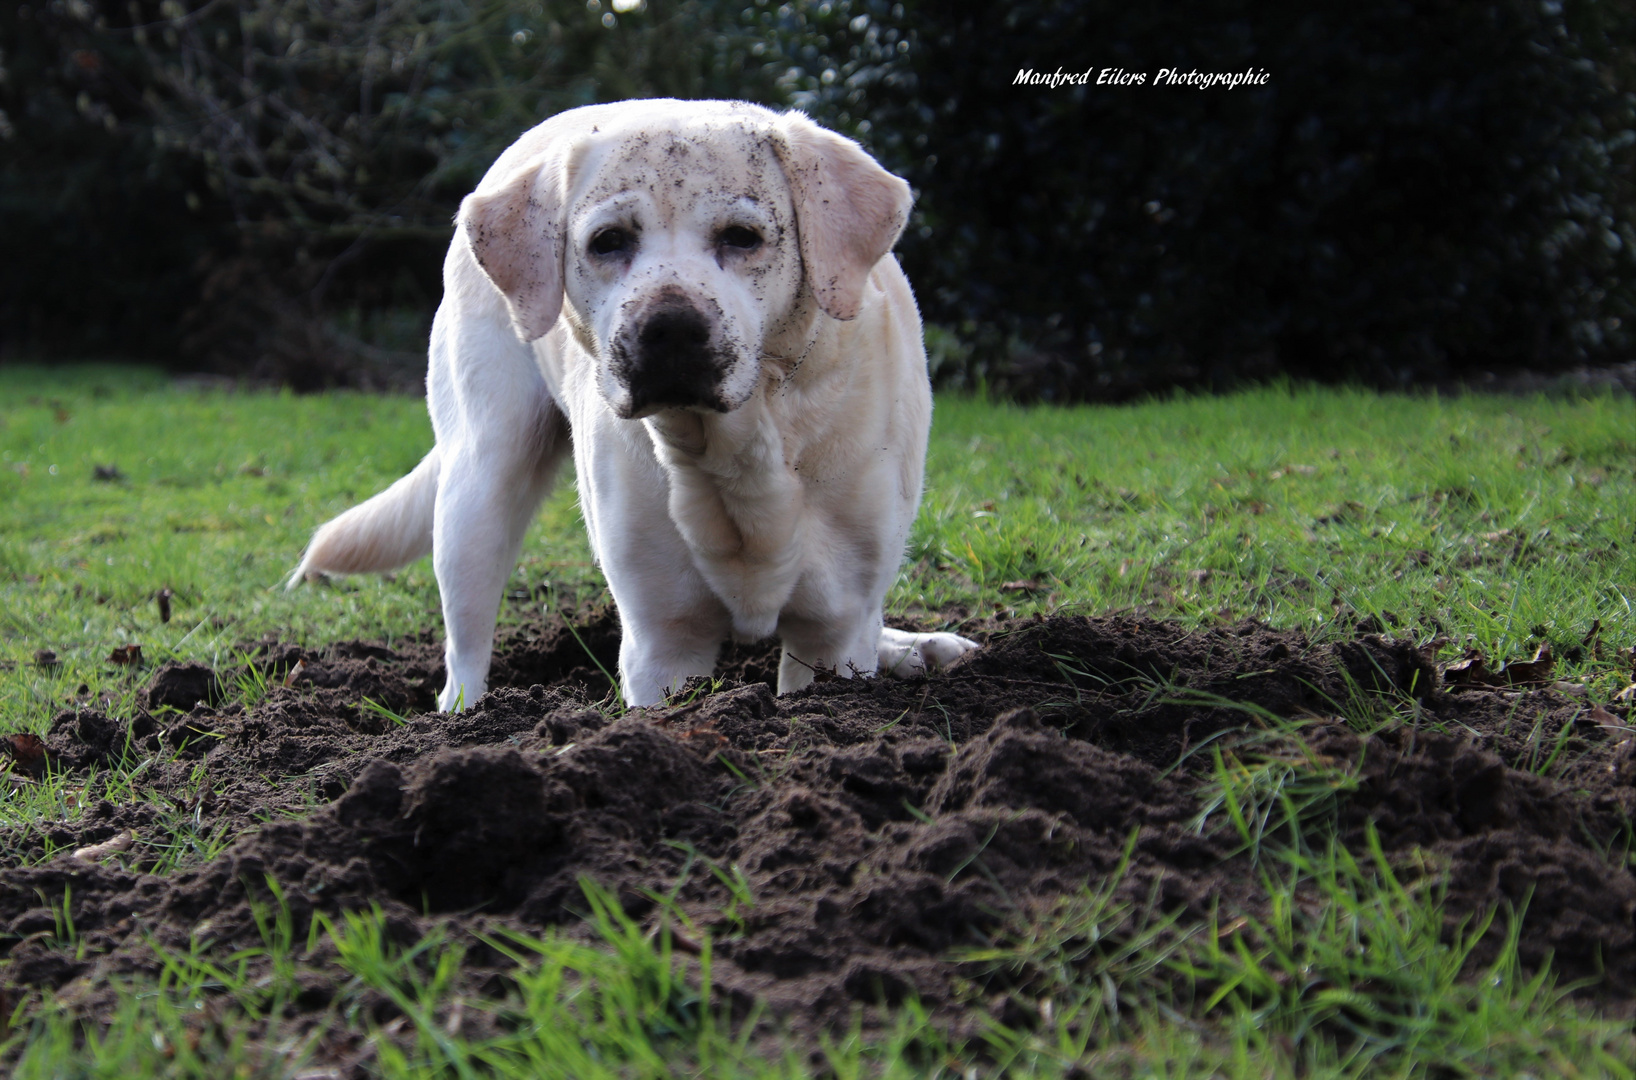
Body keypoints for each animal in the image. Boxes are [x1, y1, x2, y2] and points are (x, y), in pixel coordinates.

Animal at [289, 99, 975, 710]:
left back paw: (915, 647)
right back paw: (467, 718)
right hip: (478, 485)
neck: (740, 448)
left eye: (743, 237)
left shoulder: (834, 632)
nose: (668, 328)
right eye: (608, 241)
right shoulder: (662, 643)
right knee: (465, 646)